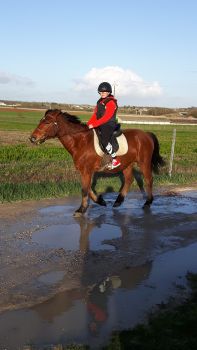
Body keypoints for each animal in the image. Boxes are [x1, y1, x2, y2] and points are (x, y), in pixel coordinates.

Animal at [29, 108, 165, 216]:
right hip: (127, 164)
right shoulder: (85, 171)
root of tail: (146, 134)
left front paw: (81, 210)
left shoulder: (87, 171)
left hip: (144, 162)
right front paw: (101, 201)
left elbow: (84, 189)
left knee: (148, 180)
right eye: (41, 121)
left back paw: (147, 202)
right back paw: (118, 202)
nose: (32, 138)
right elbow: (87, 188)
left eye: (47, 122)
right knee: (129, 179)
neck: (80, 141)